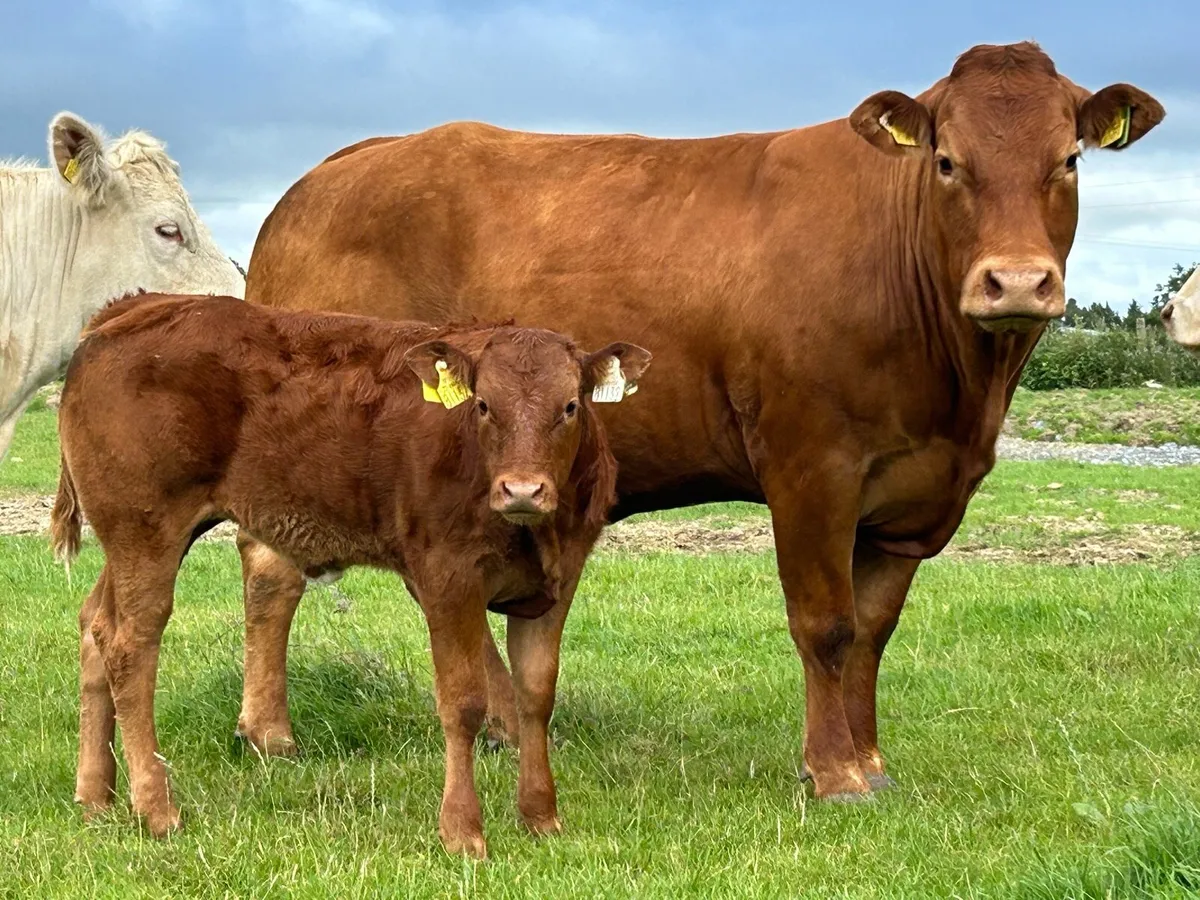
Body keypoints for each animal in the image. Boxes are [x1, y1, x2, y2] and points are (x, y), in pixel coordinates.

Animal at [51, 291, 650, 857]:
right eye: (483, 405)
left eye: (570, 406)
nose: (522, 490)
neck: (531, 533)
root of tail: (136, 307)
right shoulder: (447, 577)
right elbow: (463, 702)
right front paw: (463, 832)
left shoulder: (558, 582)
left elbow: (536, 696)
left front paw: (541, 817)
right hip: (145, 528)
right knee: (131, 644)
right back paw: (156, 809)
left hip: (138, 539)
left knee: (95, 625)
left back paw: (97, 796)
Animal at [231, 42, 1165, 812]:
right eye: (946, 161)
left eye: (1068, 159)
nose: (1017, 282)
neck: (962, 387)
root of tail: (335, 169)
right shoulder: (811, 466)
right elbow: (825, 624)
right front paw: (832, 773)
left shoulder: (913, 498)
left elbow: (872, 631)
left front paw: (870, 760)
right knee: (274, 569)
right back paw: (270, 732)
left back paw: (496, 722)